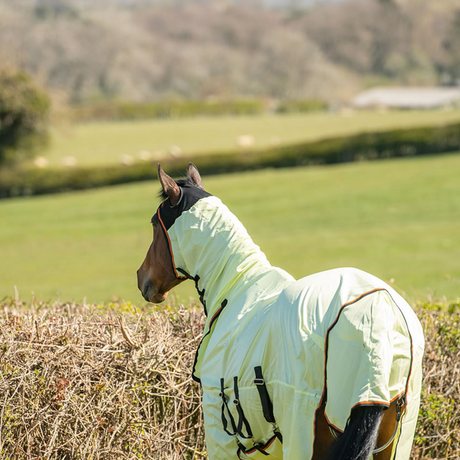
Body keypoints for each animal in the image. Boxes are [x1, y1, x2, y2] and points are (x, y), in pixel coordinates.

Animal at [137, 164, 424, 458]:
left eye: (154, 223)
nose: (141, 277)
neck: (234, 285)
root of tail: (378, 307)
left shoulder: (220, 433)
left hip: (302, 428)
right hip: (397, 437)